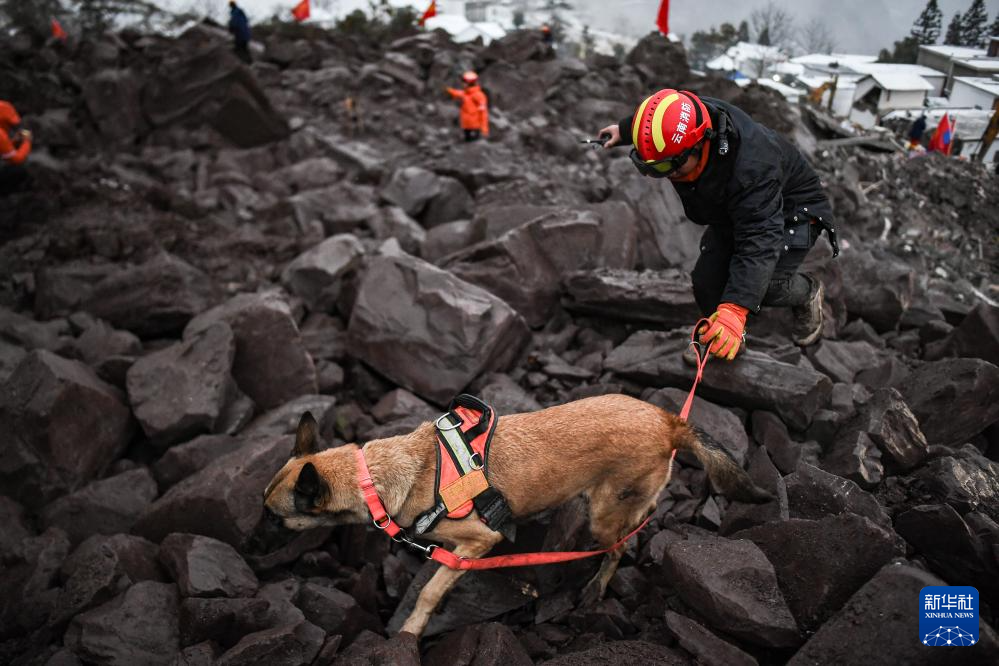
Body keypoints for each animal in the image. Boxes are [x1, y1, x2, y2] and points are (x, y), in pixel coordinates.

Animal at [262, 392, 768, 636]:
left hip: (603, 514)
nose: (253, 550)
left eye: (273, 518)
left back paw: (596, 585)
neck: (377, 476)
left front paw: (411, 629)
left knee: (622, 545)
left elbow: (430, 592)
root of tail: (670, 421)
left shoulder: (476, 543)